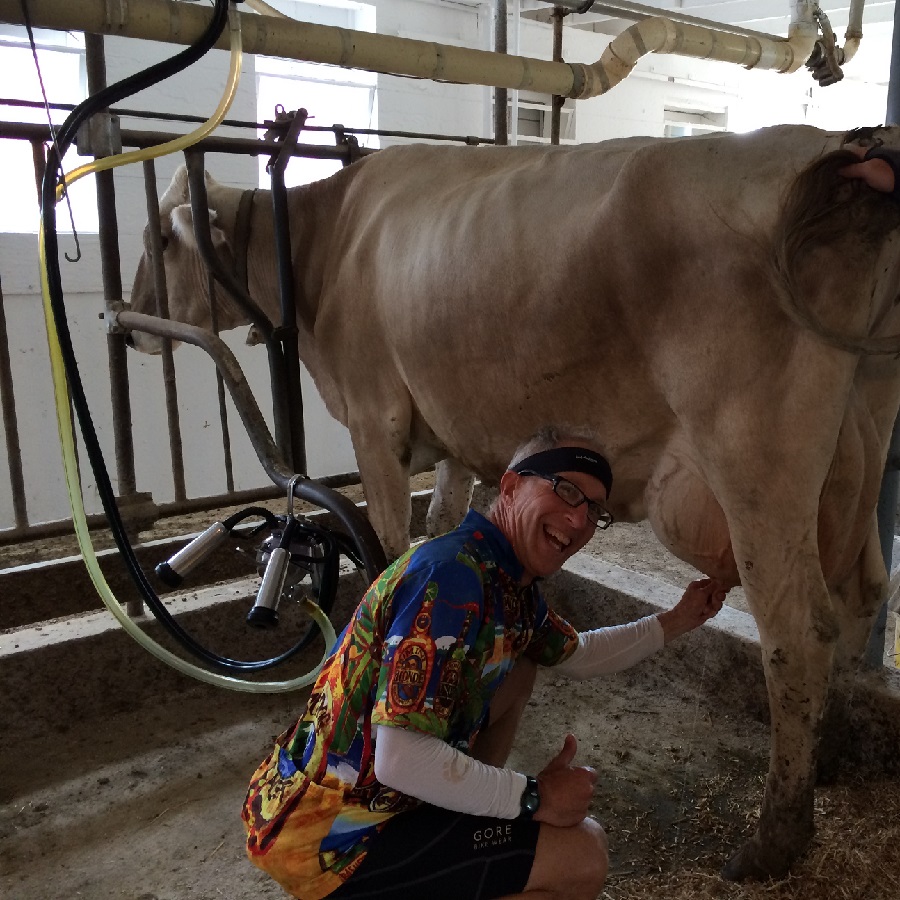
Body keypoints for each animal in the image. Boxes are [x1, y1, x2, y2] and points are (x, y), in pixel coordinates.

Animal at [125, 125, 900, 880]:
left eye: (160, 239)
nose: (130, 326)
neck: (325, 242)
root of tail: (835, 151)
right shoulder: (446, 434)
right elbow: (437, 524)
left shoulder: (374, 418)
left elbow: (387, 541)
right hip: (860, 442)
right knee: (861, 592)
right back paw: (828, 756)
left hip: (754, 457)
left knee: (799, 631)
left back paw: (774, 840)